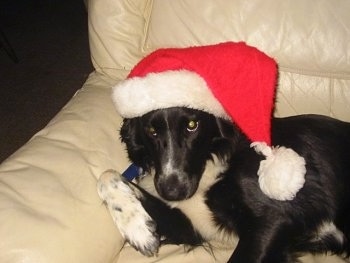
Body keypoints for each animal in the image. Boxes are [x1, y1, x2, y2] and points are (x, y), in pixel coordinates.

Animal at [97, 108, 350, 263]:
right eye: (151, 131)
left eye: (192, 125)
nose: (172, 192)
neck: (211, 160)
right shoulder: (189, 226)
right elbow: (106, 174)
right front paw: (139, 229)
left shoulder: (275, 218)